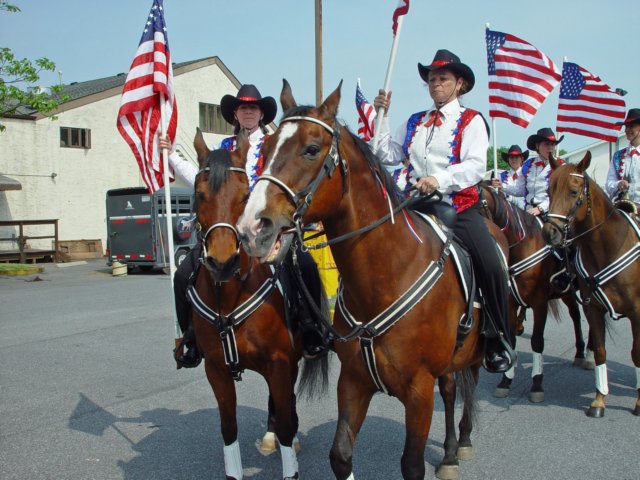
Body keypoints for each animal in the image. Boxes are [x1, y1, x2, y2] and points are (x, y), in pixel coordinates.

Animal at [189, 129, 330, 478]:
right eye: (199, 195)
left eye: (244, 195)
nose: (223, 262)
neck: (229, 298)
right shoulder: (216, 370)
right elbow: (229, 428)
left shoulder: (279, 362)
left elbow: (286, 424)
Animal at [235, 80, 510, 478]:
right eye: (266, 148)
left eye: (311, 149)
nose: (252, 227)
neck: (387, 274)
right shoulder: (353, 380)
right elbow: (340, 454)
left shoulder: (419, 391)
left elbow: (412, 464)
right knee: (451, 388)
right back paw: (449, 453)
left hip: (472, 355)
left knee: (463, 388)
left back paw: (459, 445)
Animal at [480, 184, 592, 402]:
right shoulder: (510, 302)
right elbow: (511, 339)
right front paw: (506, 381)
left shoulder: (540, 303)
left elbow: (537, 341)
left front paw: (537, 384)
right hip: (566, 293)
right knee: (575, 315)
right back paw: (580, 353)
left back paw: (588, 355)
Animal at [540, 153, 640, 416]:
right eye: (549, 191)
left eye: (574, 192)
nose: (550, 233)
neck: (609, 248)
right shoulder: (593, 308)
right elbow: (602, 352)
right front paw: (598, 400)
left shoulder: (637, 313)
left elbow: (636, 353)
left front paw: (638, 403)